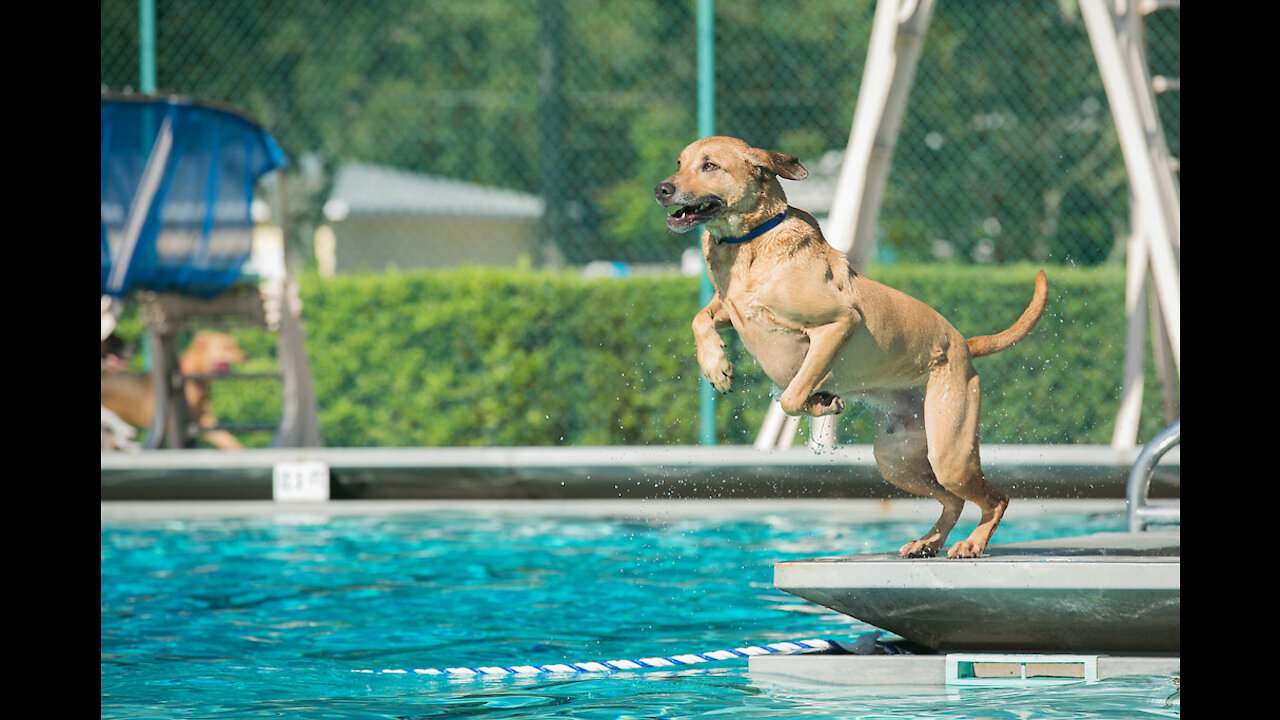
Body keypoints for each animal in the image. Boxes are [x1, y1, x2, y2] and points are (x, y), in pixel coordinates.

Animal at [99, 330, 247, 448]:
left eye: (236, 344)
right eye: (227, 347)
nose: (245, 356)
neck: (193, 382)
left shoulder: (204, 423)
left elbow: (231, 442)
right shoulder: (174, 427)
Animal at [655, 137, 1044, 558]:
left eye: (709, 166)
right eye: (679, 162)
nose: (661, 189)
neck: (749, 243)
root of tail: (964, 345)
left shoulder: (838, 323)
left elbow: (792, 395)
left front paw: (819, 402)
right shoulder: (729, 308)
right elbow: (700, 318)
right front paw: (716, 366)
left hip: (949, 451)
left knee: (995, 498)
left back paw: (972, 543)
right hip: (896, 460)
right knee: (952, 500)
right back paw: (927, 542)